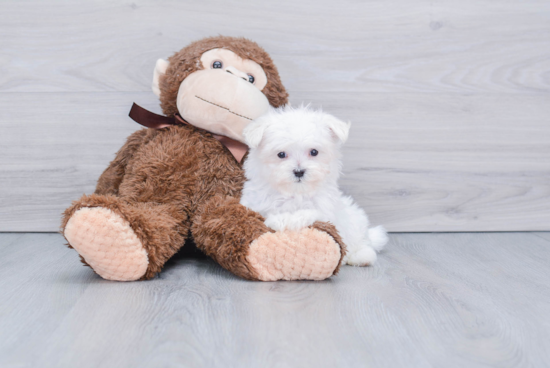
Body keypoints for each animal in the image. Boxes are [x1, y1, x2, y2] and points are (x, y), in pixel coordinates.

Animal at [240, 105, 388, 266]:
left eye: (314, 152)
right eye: (281, 154)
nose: (299, 171)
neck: (296, 193)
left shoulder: (324, 210)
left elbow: (309, 212)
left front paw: (285, 219)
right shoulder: (256, 203)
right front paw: (278, 218)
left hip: (355, 220)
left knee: (363, 242)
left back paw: (361, 256)